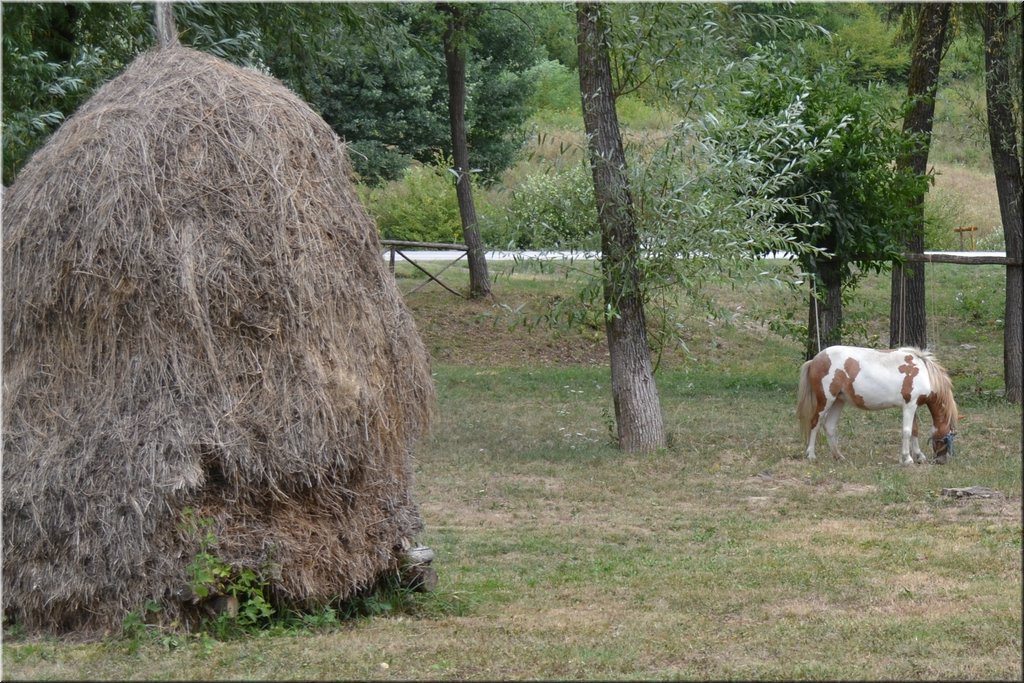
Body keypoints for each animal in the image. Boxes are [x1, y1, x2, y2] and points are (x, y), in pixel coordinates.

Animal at [798, 348, 958, 464]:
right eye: (947, 439)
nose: (941, 460)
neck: (924, 373)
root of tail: (815, 359)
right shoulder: (909, 406)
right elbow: (907, 431)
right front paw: (907, 458)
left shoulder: (913, 406)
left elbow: (914, 430)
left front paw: (919, 455)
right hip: (826, 400)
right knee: (815, 423)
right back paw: (811, 455)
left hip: (838, 401)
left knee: (829, 426)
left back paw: (839, 456)